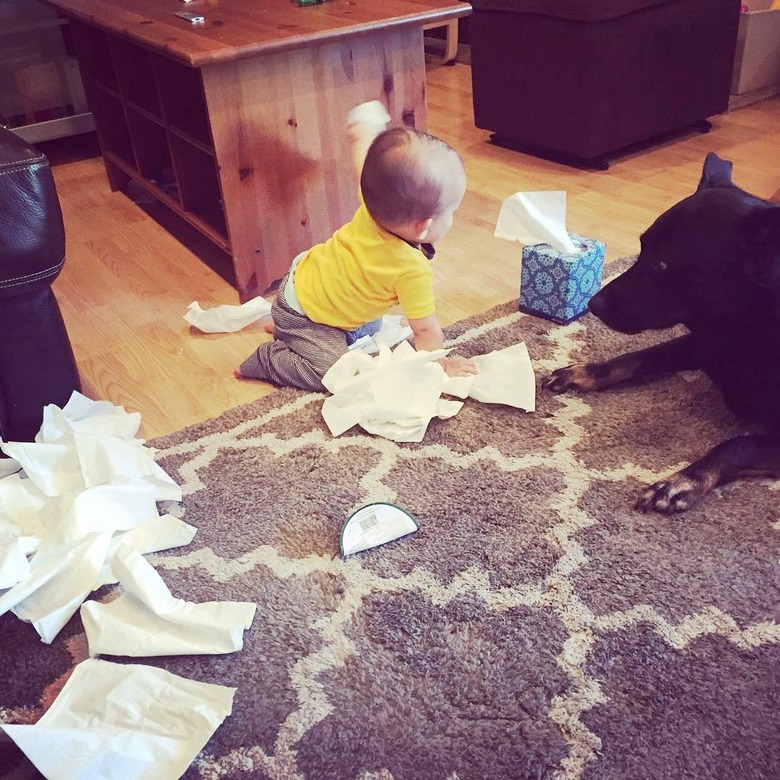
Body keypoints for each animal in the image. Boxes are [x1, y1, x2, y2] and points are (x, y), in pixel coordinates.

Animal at [544, 155, 776, 516]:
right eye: (641, 248)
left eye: (663, 265)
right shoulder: (700, 344)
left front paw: (683, 481)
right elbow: (636, 357)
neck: (742, 326)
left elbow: (739, 444)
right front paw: (586, 372)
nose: (593, 305)